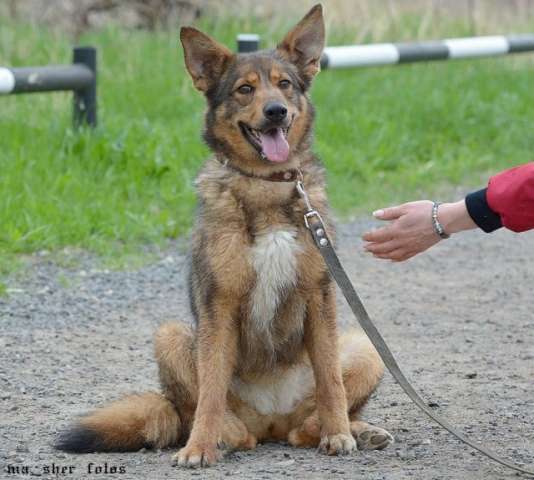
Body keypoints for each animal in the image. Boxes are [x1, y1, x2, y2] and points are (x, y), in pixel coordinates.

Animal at [56, 3, 396, 468]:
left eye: (285, 84)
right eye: (244, 89)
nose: (276, 112)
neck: (266, 186)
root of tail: (271, 422)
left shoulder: (319, 295)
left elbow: (331, 379)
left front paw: (340, 434)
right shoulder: (219, 304)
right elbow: (211, 389)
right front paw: (199, 446)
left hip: (364, 346)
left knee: (307, 425)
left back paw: (353, 429)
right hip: (171, 335)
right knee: (211, 416)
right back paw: (217, 438)